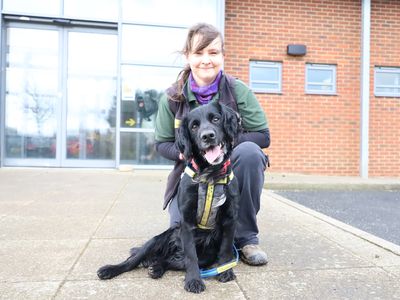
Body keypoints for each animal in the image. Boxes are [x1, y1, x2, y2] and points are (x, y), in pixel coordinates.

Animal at [97, 102, 241, 292]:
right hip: (155, 241)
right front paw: (194, 280)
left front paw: (226, 271)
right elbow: (191, 256)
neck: (210, 175)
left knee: (169, 261)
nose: (208, 136)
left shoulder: (230, 218)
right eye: (194, 126)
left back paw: (156, 268)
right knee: (133, 261)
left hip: (206, 255)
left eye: (216, 119)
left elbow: (225, 249)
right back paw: (110, 269)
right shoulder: (187, 221)